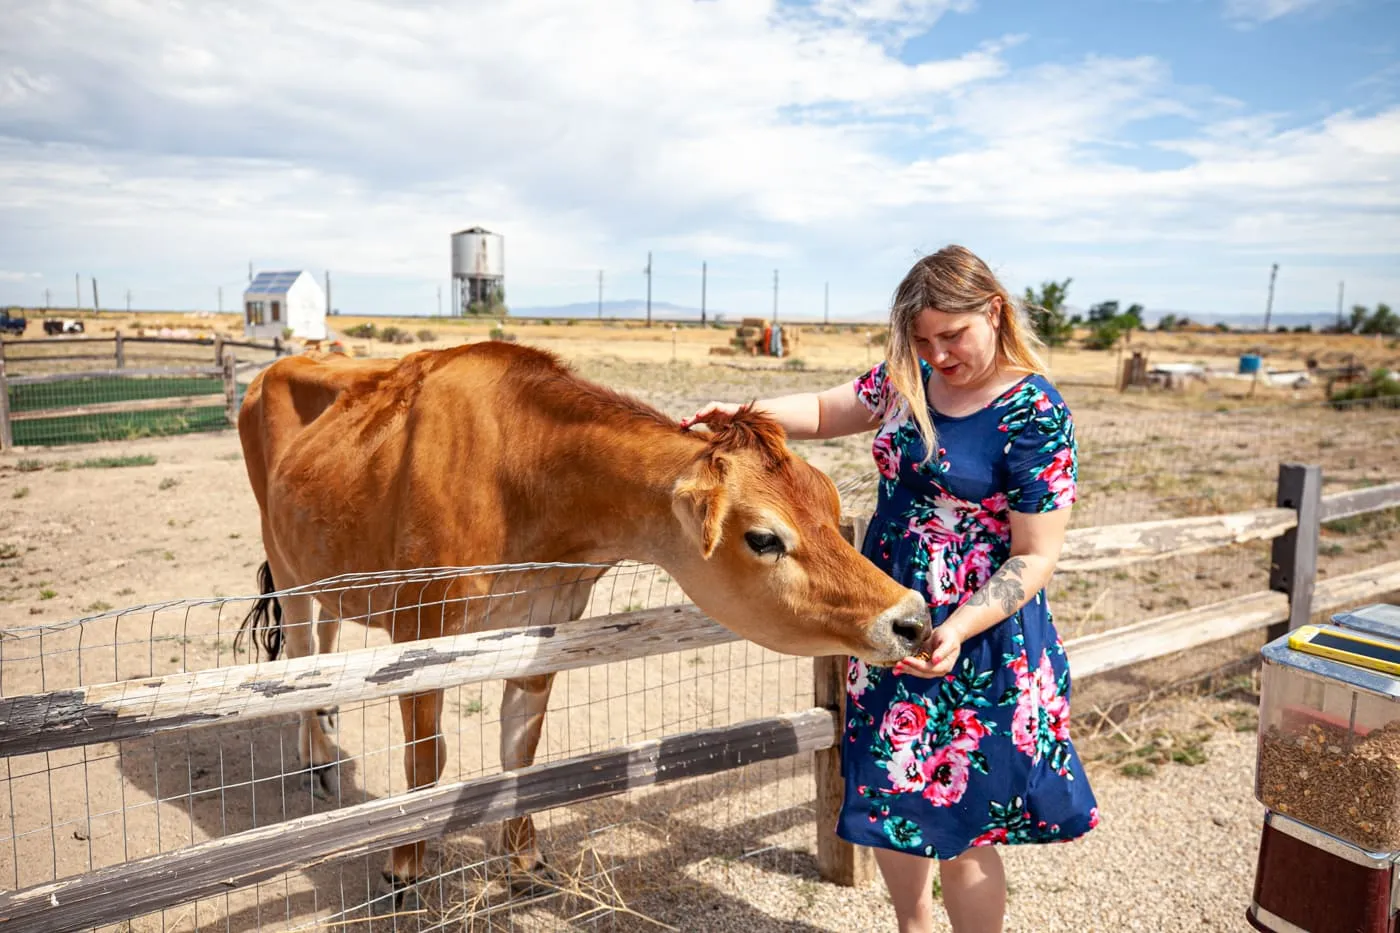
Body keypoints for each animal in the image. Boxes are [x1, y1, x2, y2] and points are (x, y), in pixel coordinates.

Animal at [235, 340, 929, 902]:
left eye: (833, 506)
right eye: (764, 537)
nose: (913, 618)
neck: (524, 478)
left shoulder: (542, 632)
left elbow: (519, 754)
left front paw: (522, 860)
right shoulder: (421, 632)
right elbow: (425, 763)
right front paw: (404, 866)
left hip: (326, 571)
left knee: (326, 652)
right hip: (285, 562)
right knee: (302, 651)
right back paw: (317, 760)